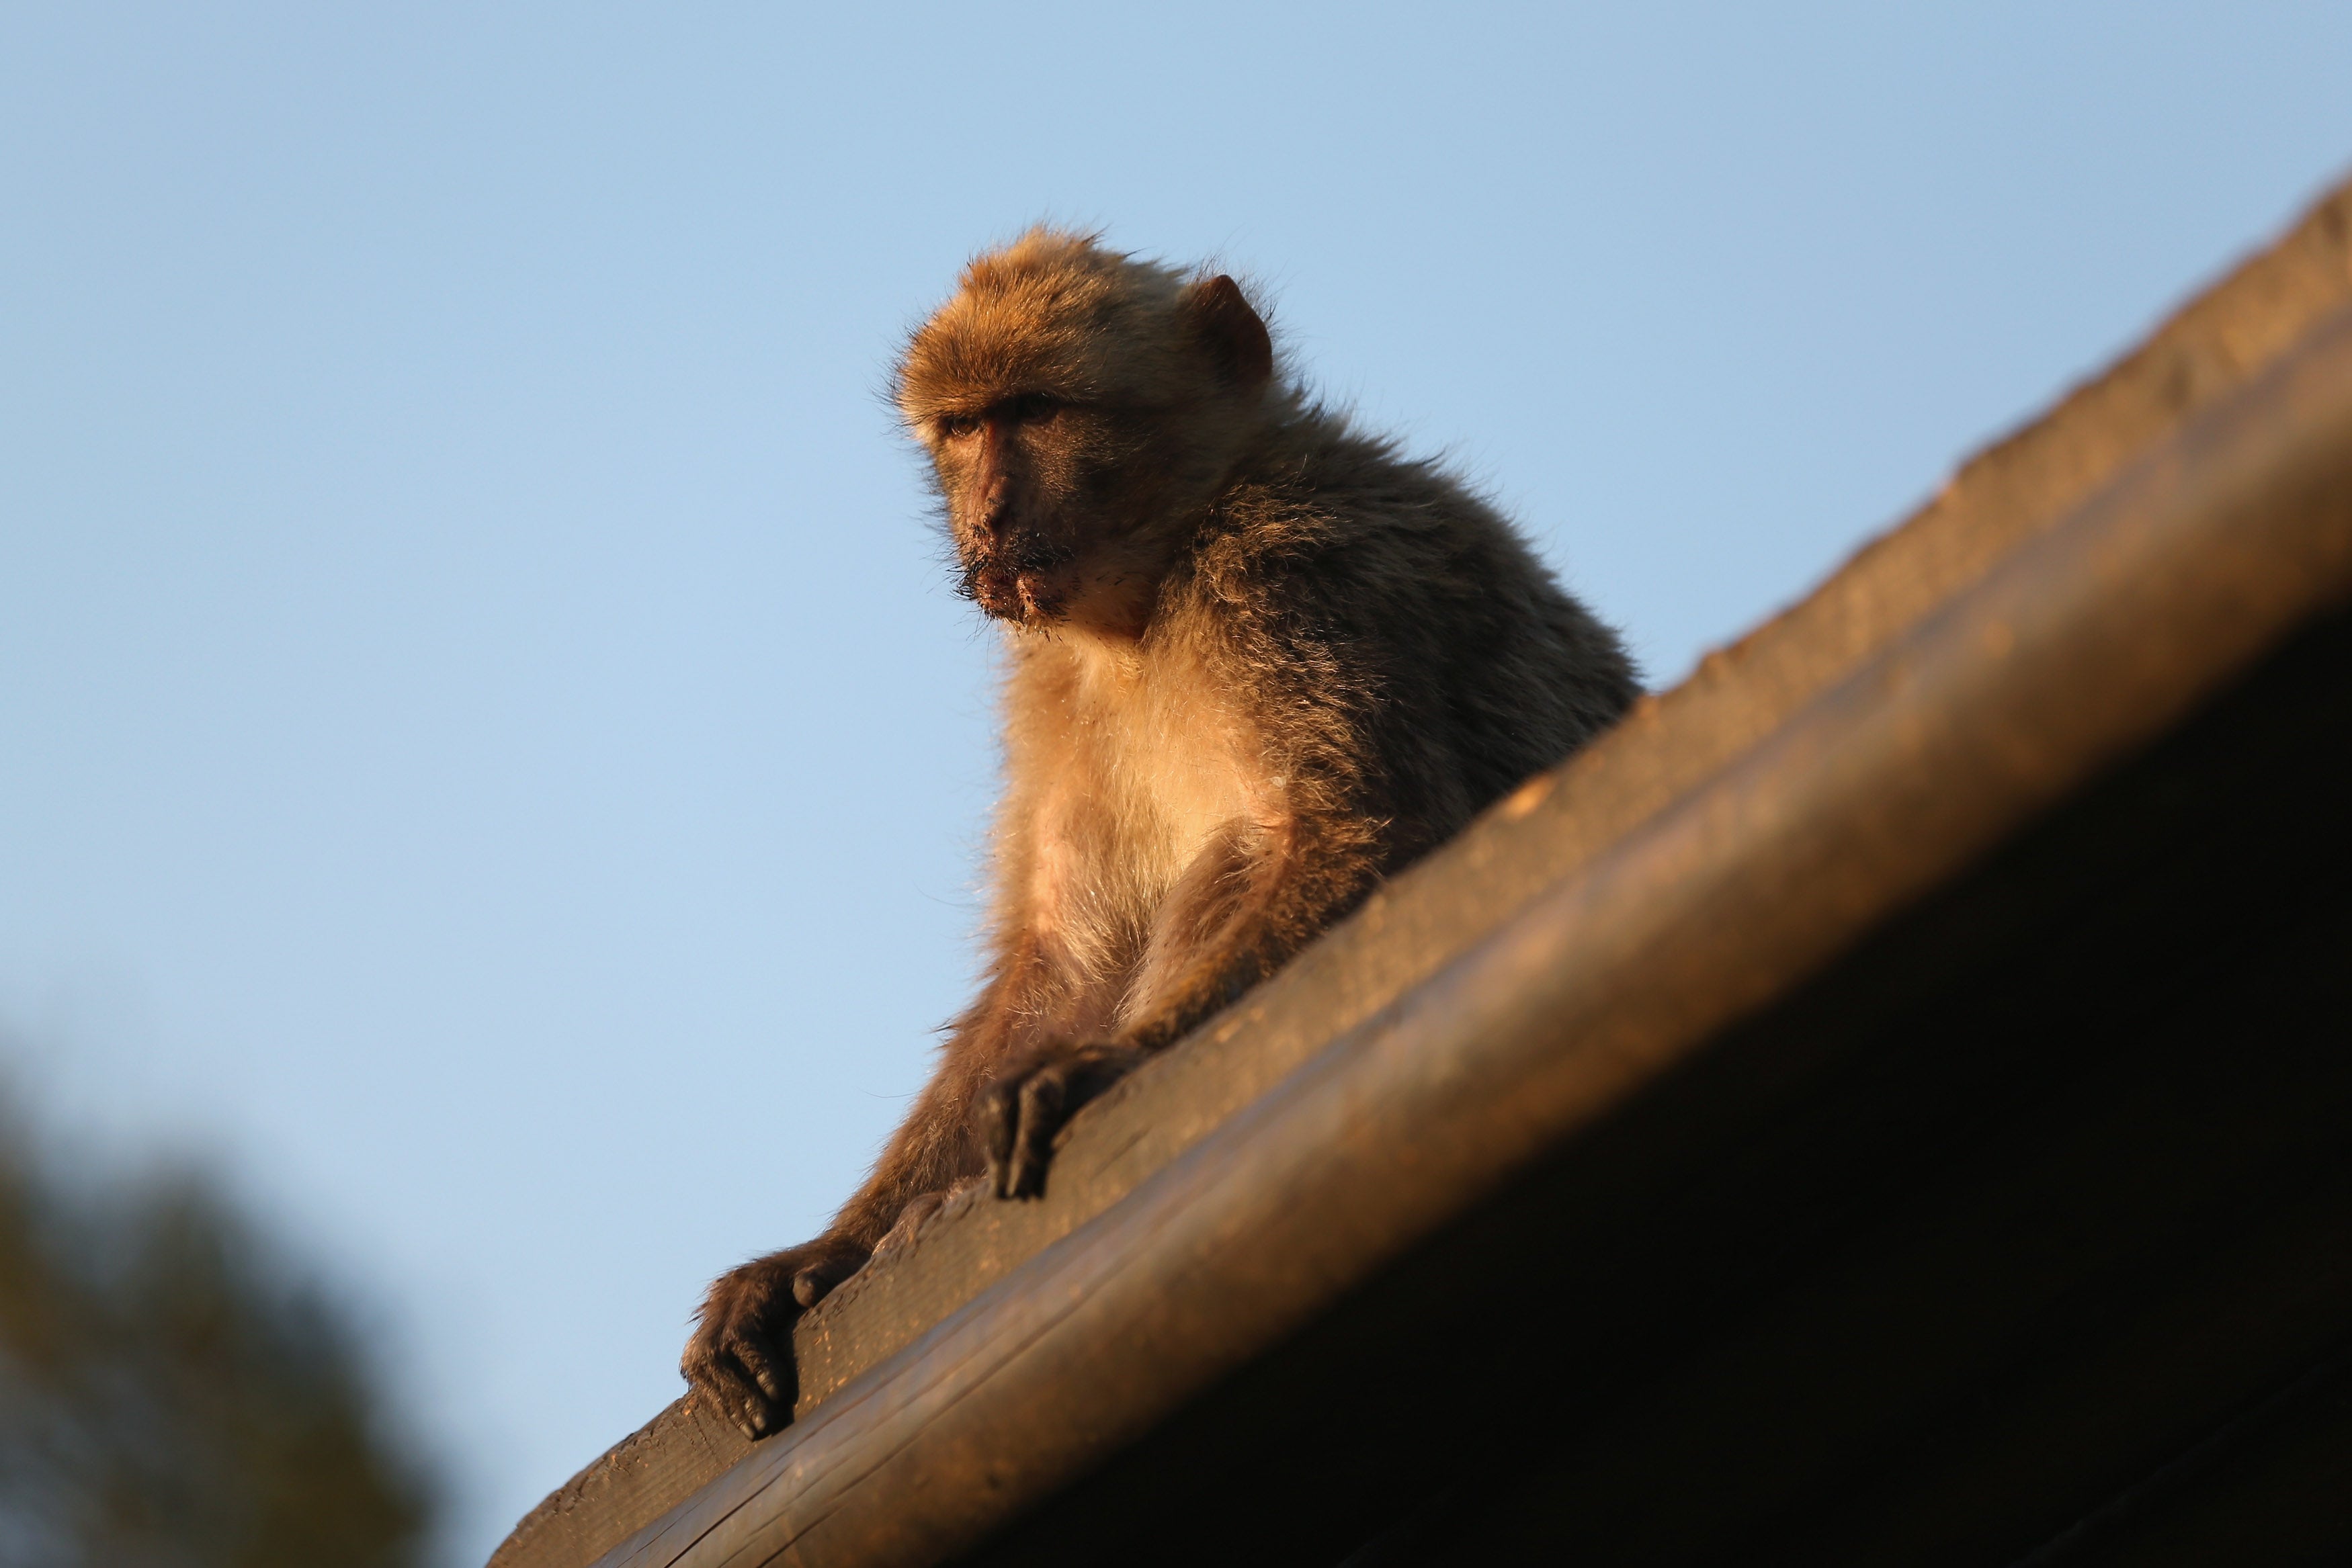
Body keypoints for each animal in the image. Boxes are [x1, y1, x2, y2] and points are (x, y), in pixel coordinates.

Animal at [683, 230, 1639, 1437]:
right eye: (964, 427)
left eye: (1037, 410)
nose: (987, 510)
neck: (1159, 571)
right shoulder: (1055, 688)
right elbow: (1065, 959)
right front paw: (814, 1254)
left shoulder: (1294, 574)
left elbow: (1366, 826)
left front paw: (1114, 1060)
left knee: (1241, 847)